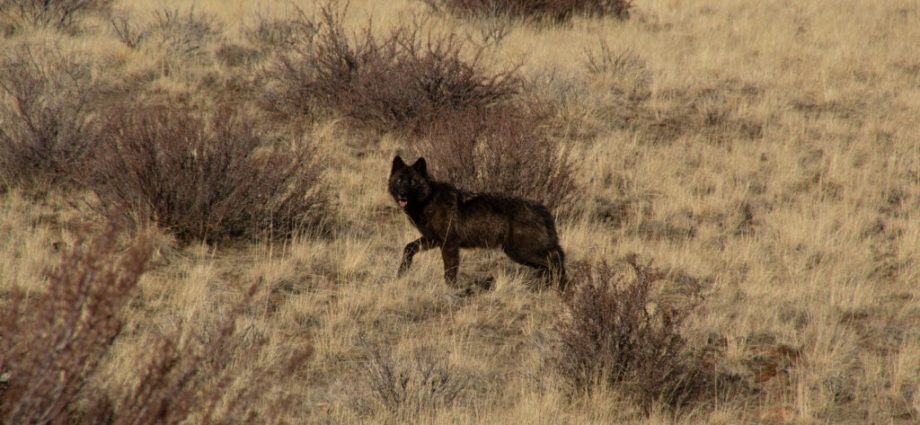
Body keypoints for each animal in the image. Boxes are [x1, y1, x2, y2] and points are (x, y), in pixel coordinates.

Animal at [388, 155, 566, 290]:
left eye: (413, 181)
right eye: (399, 180)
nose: (402, 195)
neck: (428, 200)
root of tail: (543, 209)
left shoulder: (449, 244)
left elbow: (449, 272)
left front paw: (450, 291)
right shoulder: (432, 239)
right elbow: (408, 248)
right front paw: (401, 272)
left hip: (520, 252)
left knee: (554, 260)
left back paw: (555, 286)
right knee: (554, 260)